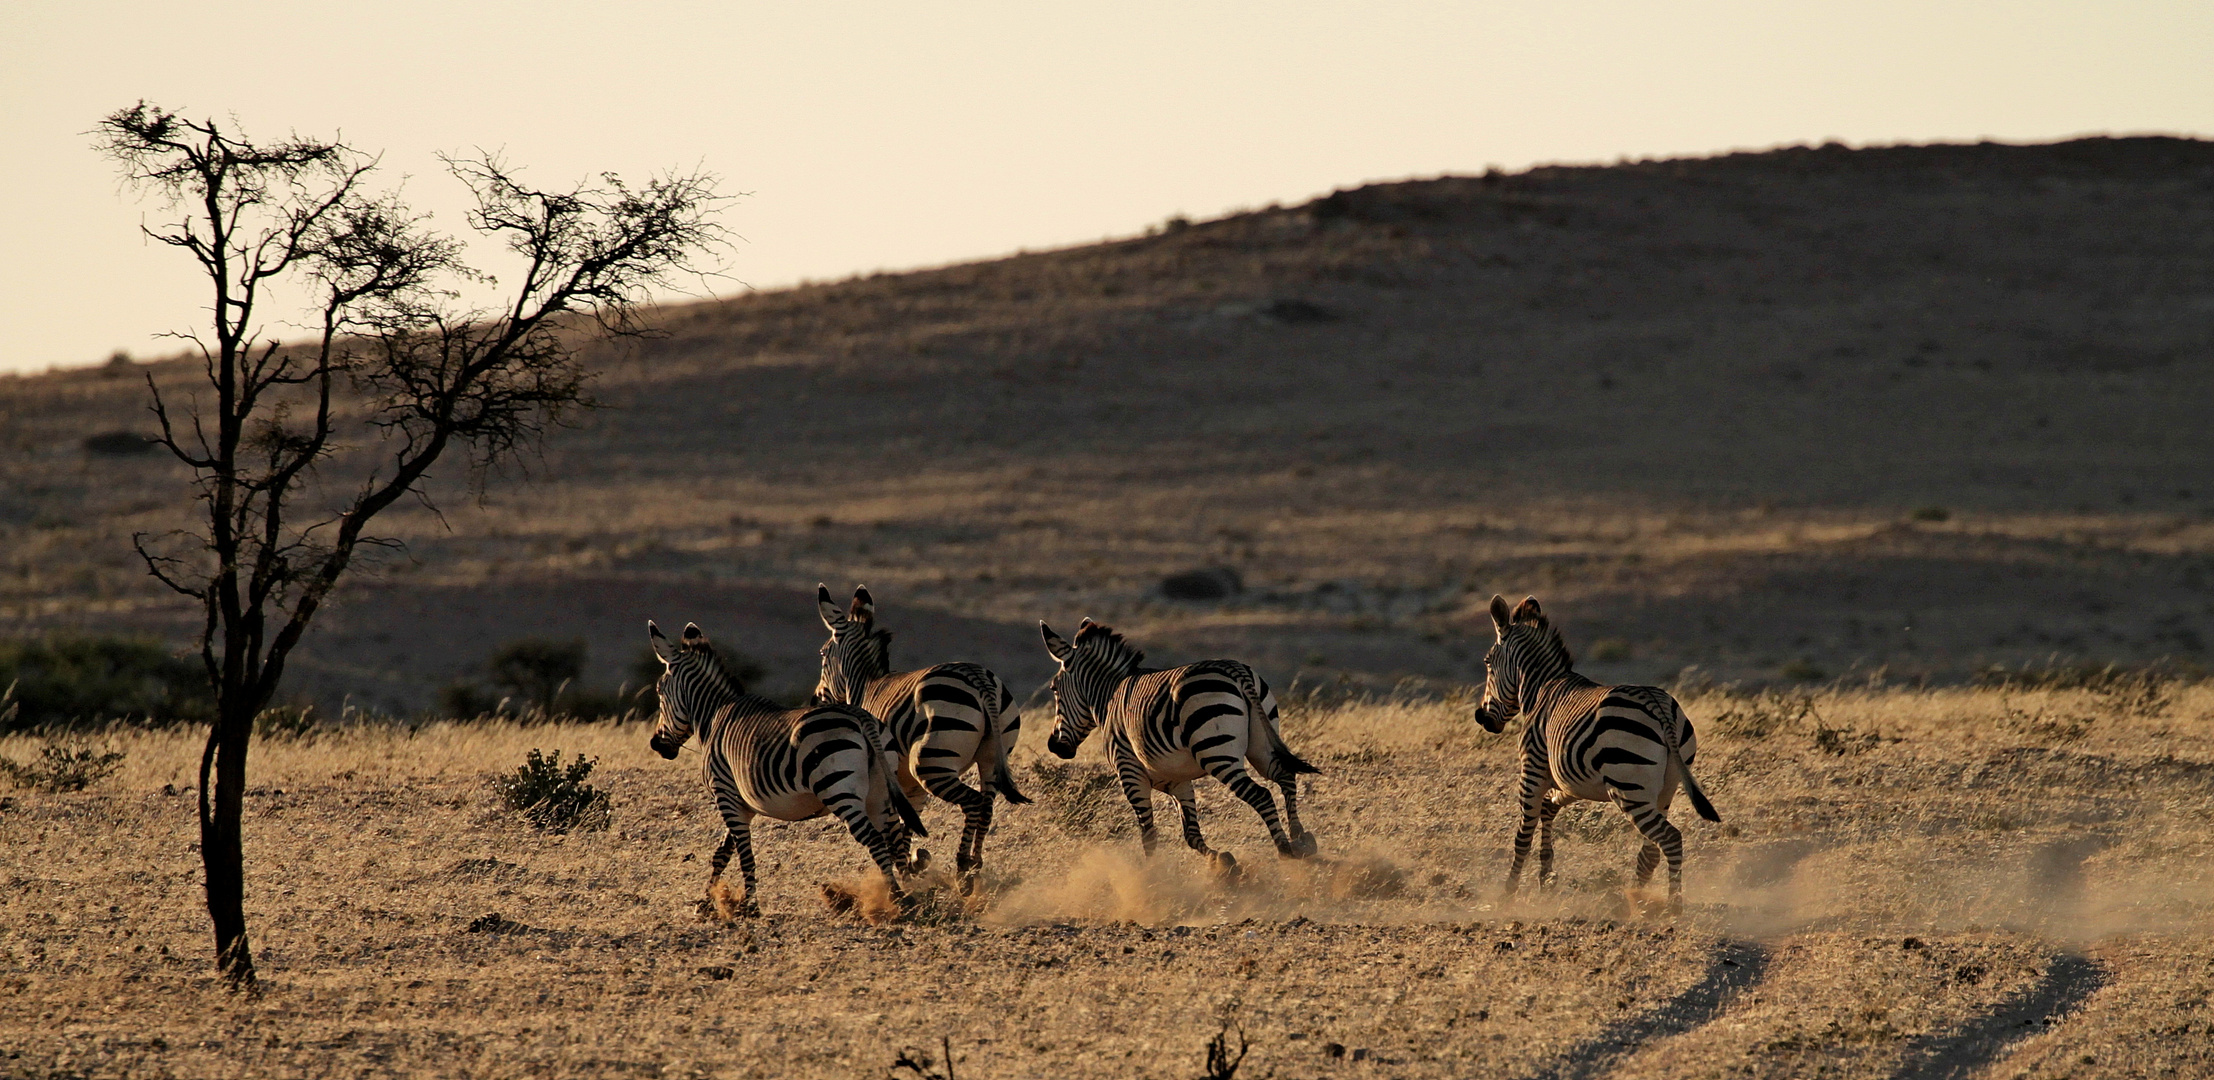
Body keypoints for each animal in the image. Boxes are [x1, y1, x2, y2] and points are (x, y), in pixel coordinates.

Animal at [642, 619, 925, 916]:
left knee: (875, 840)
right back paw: (909, 894)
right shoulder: (740, 804)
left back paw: (896, 898)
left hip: (839, 790)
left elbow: (745, 854)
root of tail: (861, 716)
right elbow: (723, 853)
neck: (714, 715)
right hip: (880, 791)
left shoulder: (725, 795)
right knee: (895, 839)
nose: (655, 744)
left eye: (660, 691)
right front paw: (706, 901)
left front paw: (749, 905)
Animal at [814, 584, 1027, 880]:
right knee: (986, 806)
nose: (816, 699)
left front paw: (903, 869)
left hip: (929, 764)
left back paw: (963, 865)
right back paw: (975, 863)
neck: (866, 685)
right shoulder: (909, 786)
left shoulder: (887, 780)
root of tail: (977, 678)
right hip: (992, 757)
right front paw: (913, 863)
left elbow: (893, 827)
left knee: (973, 802)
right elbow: (909, 823)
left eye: (823, 656)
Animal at [1036, 615, 1310, 867]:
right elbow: (1191, 834)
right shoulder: (1177, 779)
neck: (1109, 696)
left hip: (1216, 753)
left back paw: (1285, 849)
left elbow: (1148, 834)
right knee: (1285, 775)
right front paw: (1222, 863)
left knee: (1261, 795)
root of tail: (1234, 669)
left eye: (1053, 689)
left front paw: (1153, 875)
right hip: (1261, 743)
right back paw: (1301, 838)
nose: (1053, 745)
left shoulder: (1129, 772)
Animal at [1470, 593, 1726, 916]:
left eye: (1488, 663)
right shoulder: (1570, 782)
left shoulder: (1532, 769)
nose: (1481, 717)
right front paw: (1546, 877)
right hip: (1666, 788)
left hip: (1628, 788)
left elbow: (1523, 834)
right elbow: (1548, 809)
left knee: (1670, 839)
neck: (1540, 688)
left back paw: (1672, 907)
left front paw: (1509, 894)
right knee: (1652, 850)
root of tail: (1658, 705)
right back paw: (1635, 899)